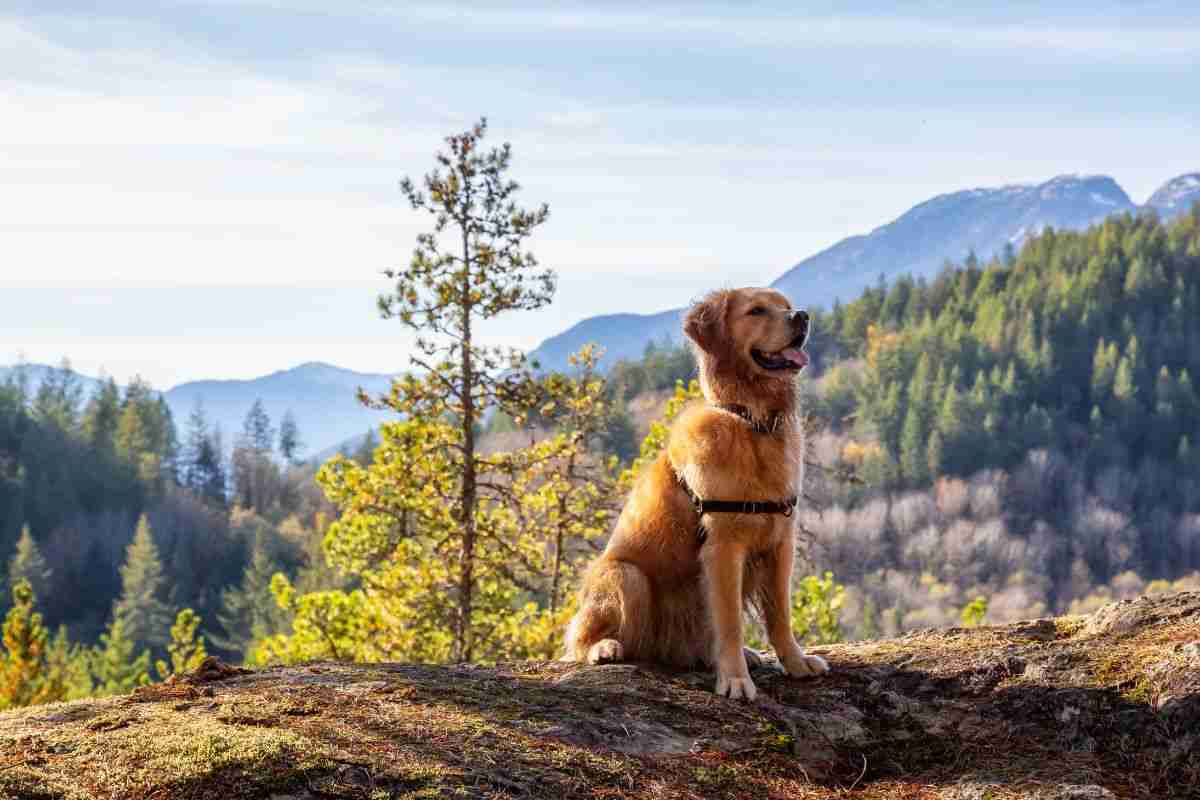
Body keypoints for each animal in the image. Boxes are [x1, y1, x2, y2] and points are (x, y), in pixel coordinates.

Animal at [564, 287, 830, 700]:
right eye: (756, 311)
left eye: (786, 306)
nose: (801, 316)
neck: (750, 421)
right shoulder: (723, 545)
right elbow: (731, 623)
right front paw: (735, 679)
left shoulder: (779, 542)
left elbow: (780, 616)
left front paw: (796, 663)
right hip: (627, 576)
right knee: (582, 638)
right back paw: (604, 648)